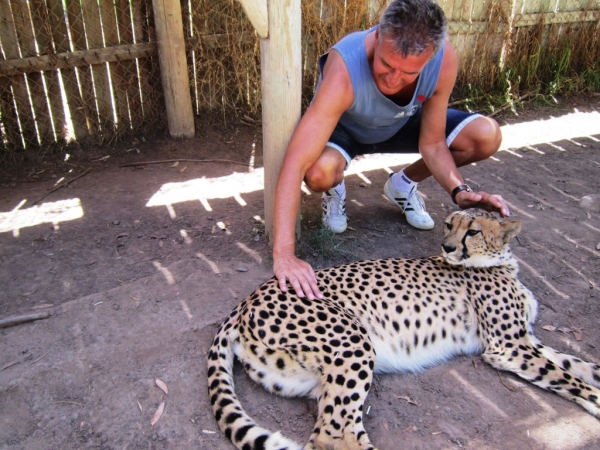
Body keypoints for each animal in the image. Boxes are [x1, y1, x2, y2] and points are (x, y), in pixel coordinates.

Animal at [207, 209, 600, 448]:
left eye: (472, 230)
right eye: (450, 224)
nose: (447, 246)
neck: (497, 263)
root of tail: (249, 297)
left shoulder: (524, 340)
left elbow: (576, 366)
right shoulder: (508, 347)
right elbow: (567, 377)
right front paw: (595, 401)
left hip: (311, 376)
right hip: (355, 343)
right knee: (329, 436)